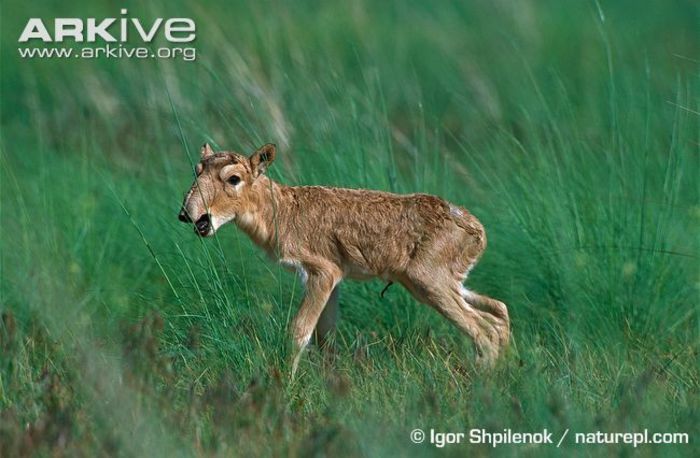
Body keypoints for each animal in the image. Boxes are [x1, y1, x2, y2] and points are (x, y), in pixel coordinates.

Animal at [178, 143, 512, 376]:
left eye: (233, 178)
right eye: (196, 170)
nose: (186, 214)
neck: (280, 210)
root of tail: (475, 229)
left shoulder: (322, 273)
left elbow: (298, 332)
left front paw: (285, 387)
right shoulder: (332, 280)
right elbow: (325, 338)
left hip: (429, 283)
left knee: (483, 331)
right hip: (445, 283)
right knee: (499, 311)